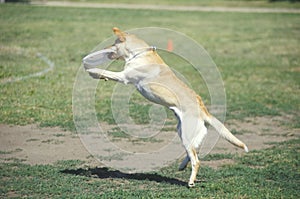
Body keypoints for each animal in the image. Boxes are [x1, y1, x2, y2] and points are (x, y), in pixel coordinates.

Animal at [84, 27, 248, 187]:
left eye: (113, 43)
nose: (104, 48)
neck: (139, 54)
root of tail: (203, 111)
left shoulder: (124, 77)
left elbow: (105, 72)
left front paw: (92, 71)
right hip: (184, 132)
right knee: (193, 152)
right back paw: (182, 166)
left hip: (186, 134)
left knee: (196, 160)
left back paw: (191, 181)